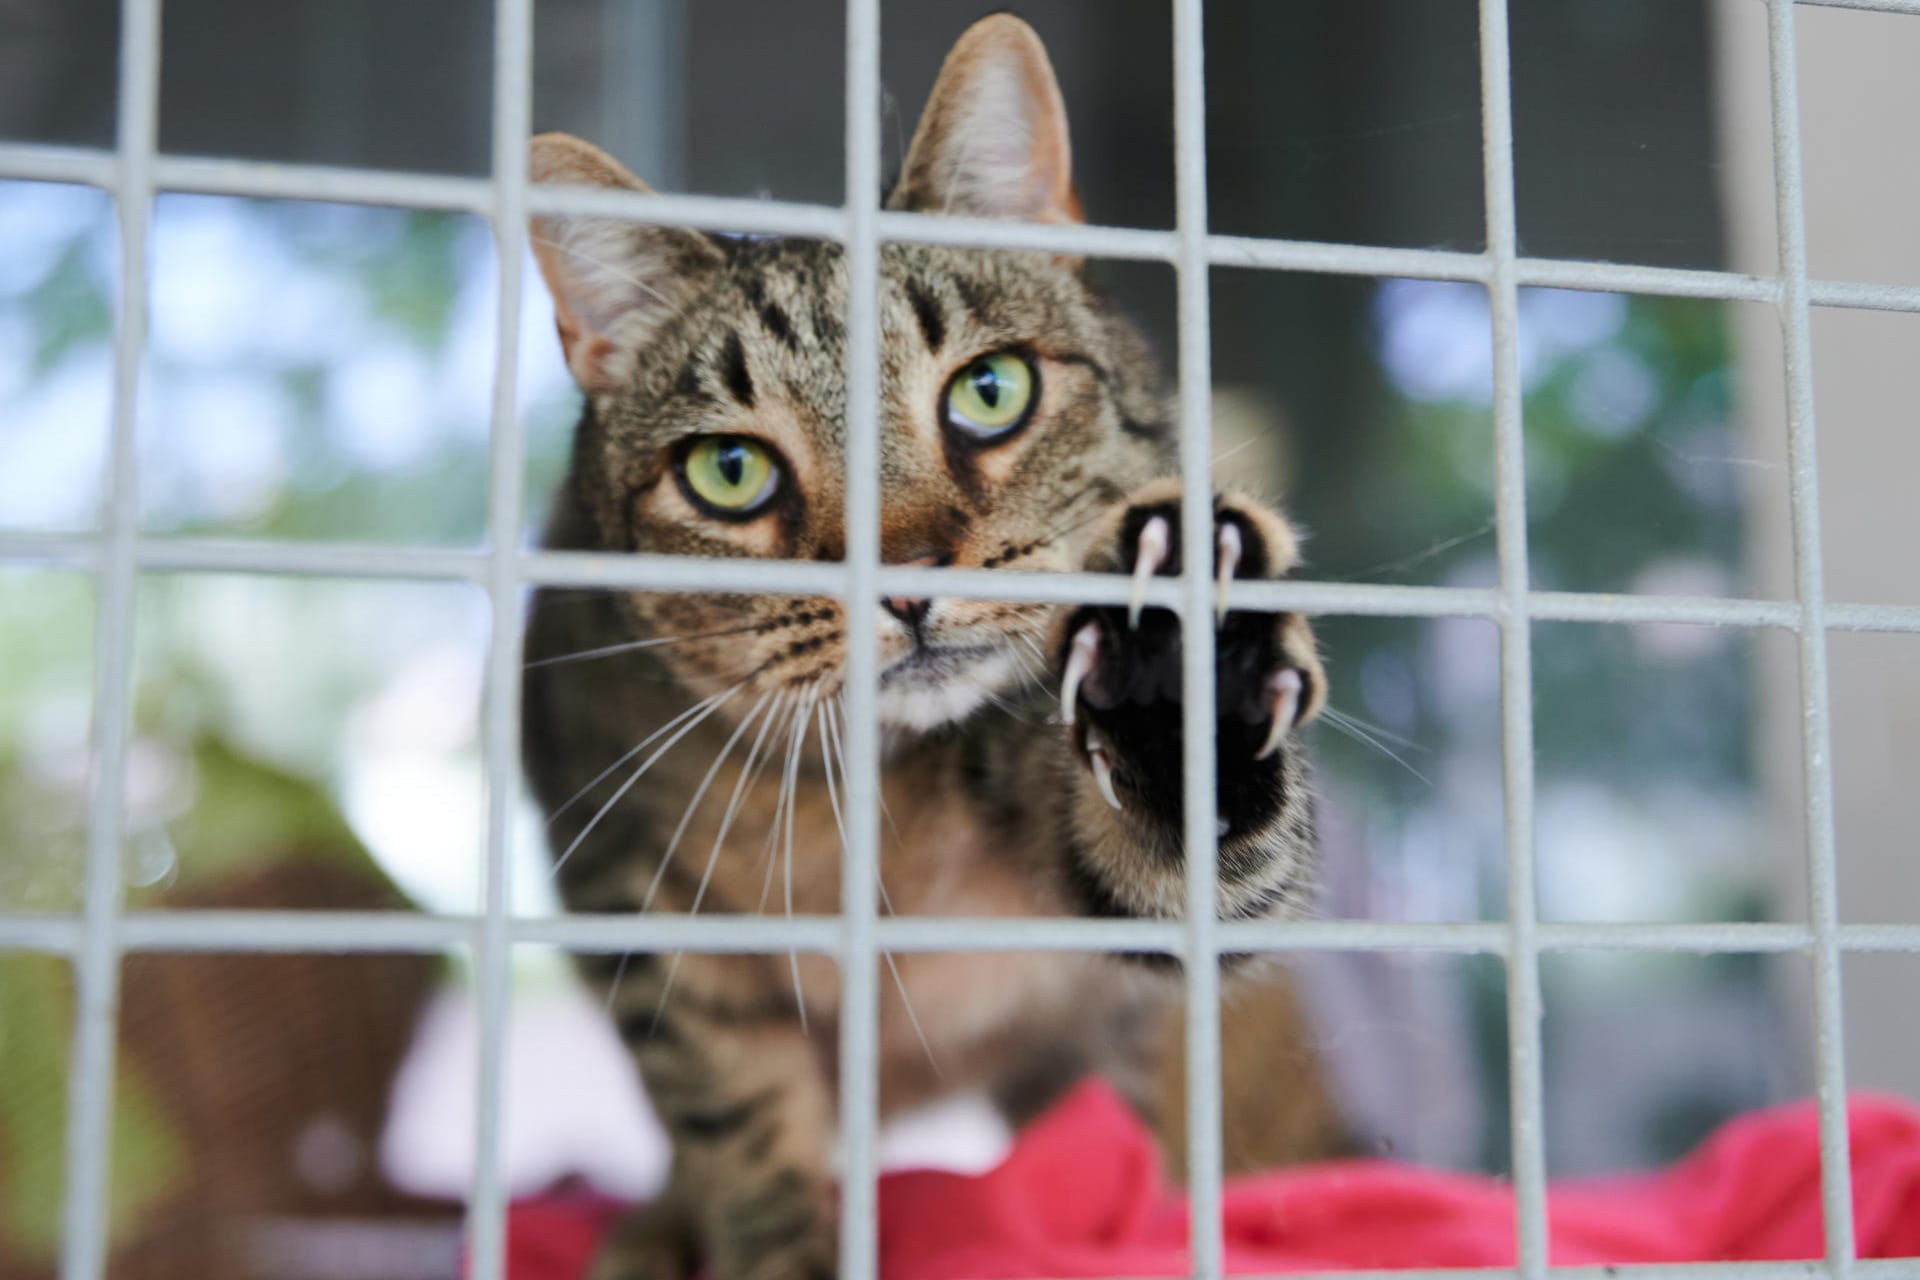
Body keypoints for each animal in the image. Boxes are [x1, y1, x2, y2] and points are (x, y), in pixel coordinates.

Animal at [522, 12, 1336, 1280]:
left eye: (989, 390)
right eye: (729, 469)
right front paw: (768, 1243)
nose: (903, 579)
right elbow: (742, 1132)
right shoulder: (639, 908)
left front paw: (1180, 675)